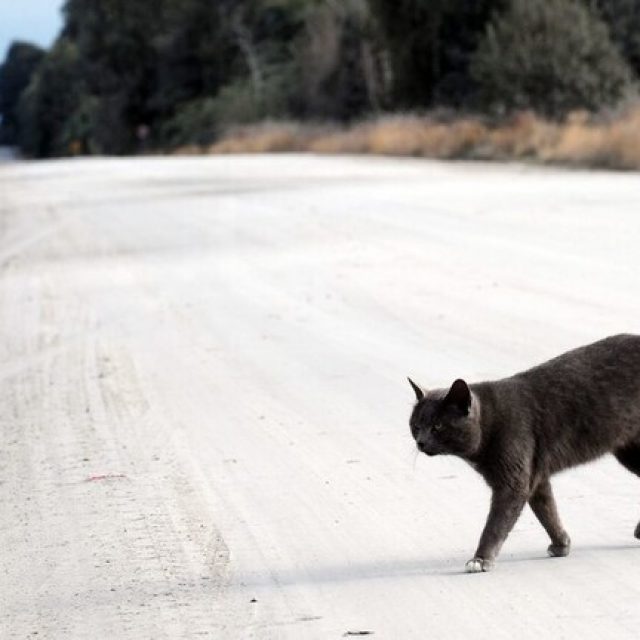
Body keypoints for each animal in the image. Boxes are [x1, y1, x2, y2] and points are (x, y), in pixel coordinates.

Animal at [408, 338, 640, 572]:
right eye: (416, 426)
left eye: (438, 426)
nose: (421, 442)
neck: (489, 422)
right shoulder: (535, 476)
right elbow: (547, 510)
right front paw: (561, 544)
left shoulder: (513, 482)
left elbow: (495, 525)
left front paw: (480, 559)